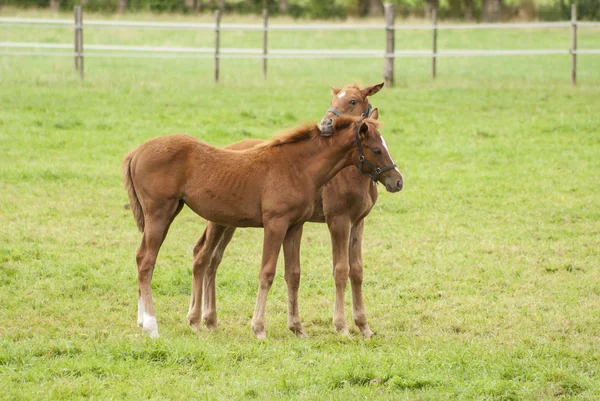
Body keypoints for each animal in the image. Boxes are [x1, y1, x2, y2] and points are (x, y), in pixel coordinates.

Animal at [122, 115, 404, 338]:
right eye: (376, 150)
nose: (397, 181)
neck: (297, 167)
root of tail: (136, 152)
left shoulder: (295, 226)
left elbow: (293, 274)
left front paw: (297, 328)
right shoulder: (277, 224)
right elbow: (267, 273)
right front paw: (258, 328)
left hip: (192, 217)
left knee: (154, 257)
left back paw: (156, 322)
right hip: (161, 213)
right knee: (147, 261)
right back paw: (152, 325)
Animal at [192, 83, 392, 336]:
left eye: (353, 101)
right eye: (334, 99)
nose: (326, 124)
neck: (352, 175)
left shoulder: (357, 222)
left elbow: (356, 271)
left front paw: (364, 327)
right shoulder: (338, 221)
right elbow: (340, 270)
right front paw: (341, 326)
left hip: (229, 221)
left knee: (213, 260)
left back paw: (210, 319)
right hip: (219, 221)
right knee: (204, 256)